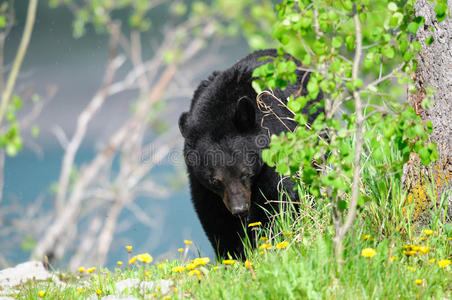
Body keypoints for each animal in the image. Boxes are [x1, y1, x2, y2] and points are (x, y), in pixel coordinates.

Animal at [178, 49, 320, 258]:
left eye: (246, 173)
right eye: (215, 180)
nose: (239, 208)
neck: (219, 111)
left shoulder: (273, 153)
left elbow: (276, 198)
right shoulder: (201, 184)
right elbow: (214, 218)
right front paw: (233, 255)